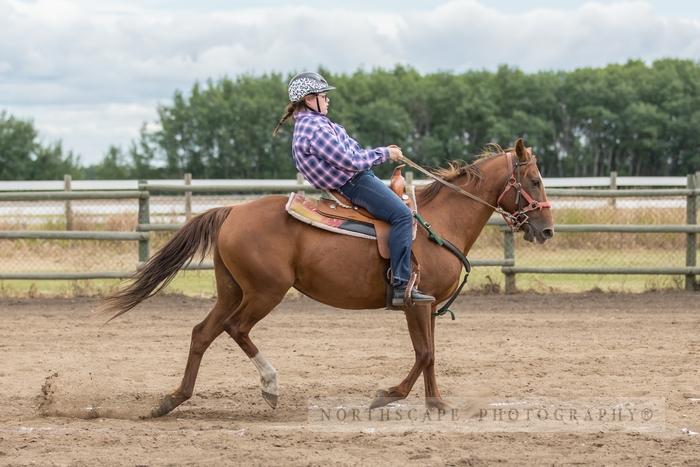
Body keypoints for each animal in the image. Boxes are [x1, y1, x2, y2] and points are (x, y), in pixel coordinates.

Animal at [101, 138, 556, 416]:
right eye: (534, 180)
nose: (547, 230)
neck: (439, 223)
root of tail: (231, 211)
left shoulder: (427, 306)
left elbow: (429, 354)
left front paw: (436, 404)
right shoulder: (412, 301)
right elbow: (424, 353)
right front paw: (386, 396)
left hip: (231, 289)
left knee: (202, 333)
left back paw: (172, 400)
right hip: (265, 292)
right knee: (235, 328)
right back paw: (270, 386)